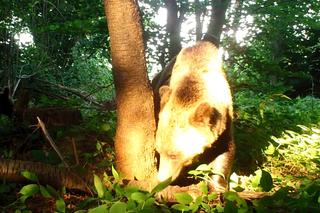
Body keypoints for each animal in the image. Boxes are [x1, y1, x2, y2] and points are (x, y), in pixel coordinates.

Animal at [155, 40, 235, 191]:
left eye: (174, 154)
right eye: (158, 150)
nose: (161, 179)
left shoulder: (224, 120)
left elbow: (224, 151)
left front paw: (218, 188)